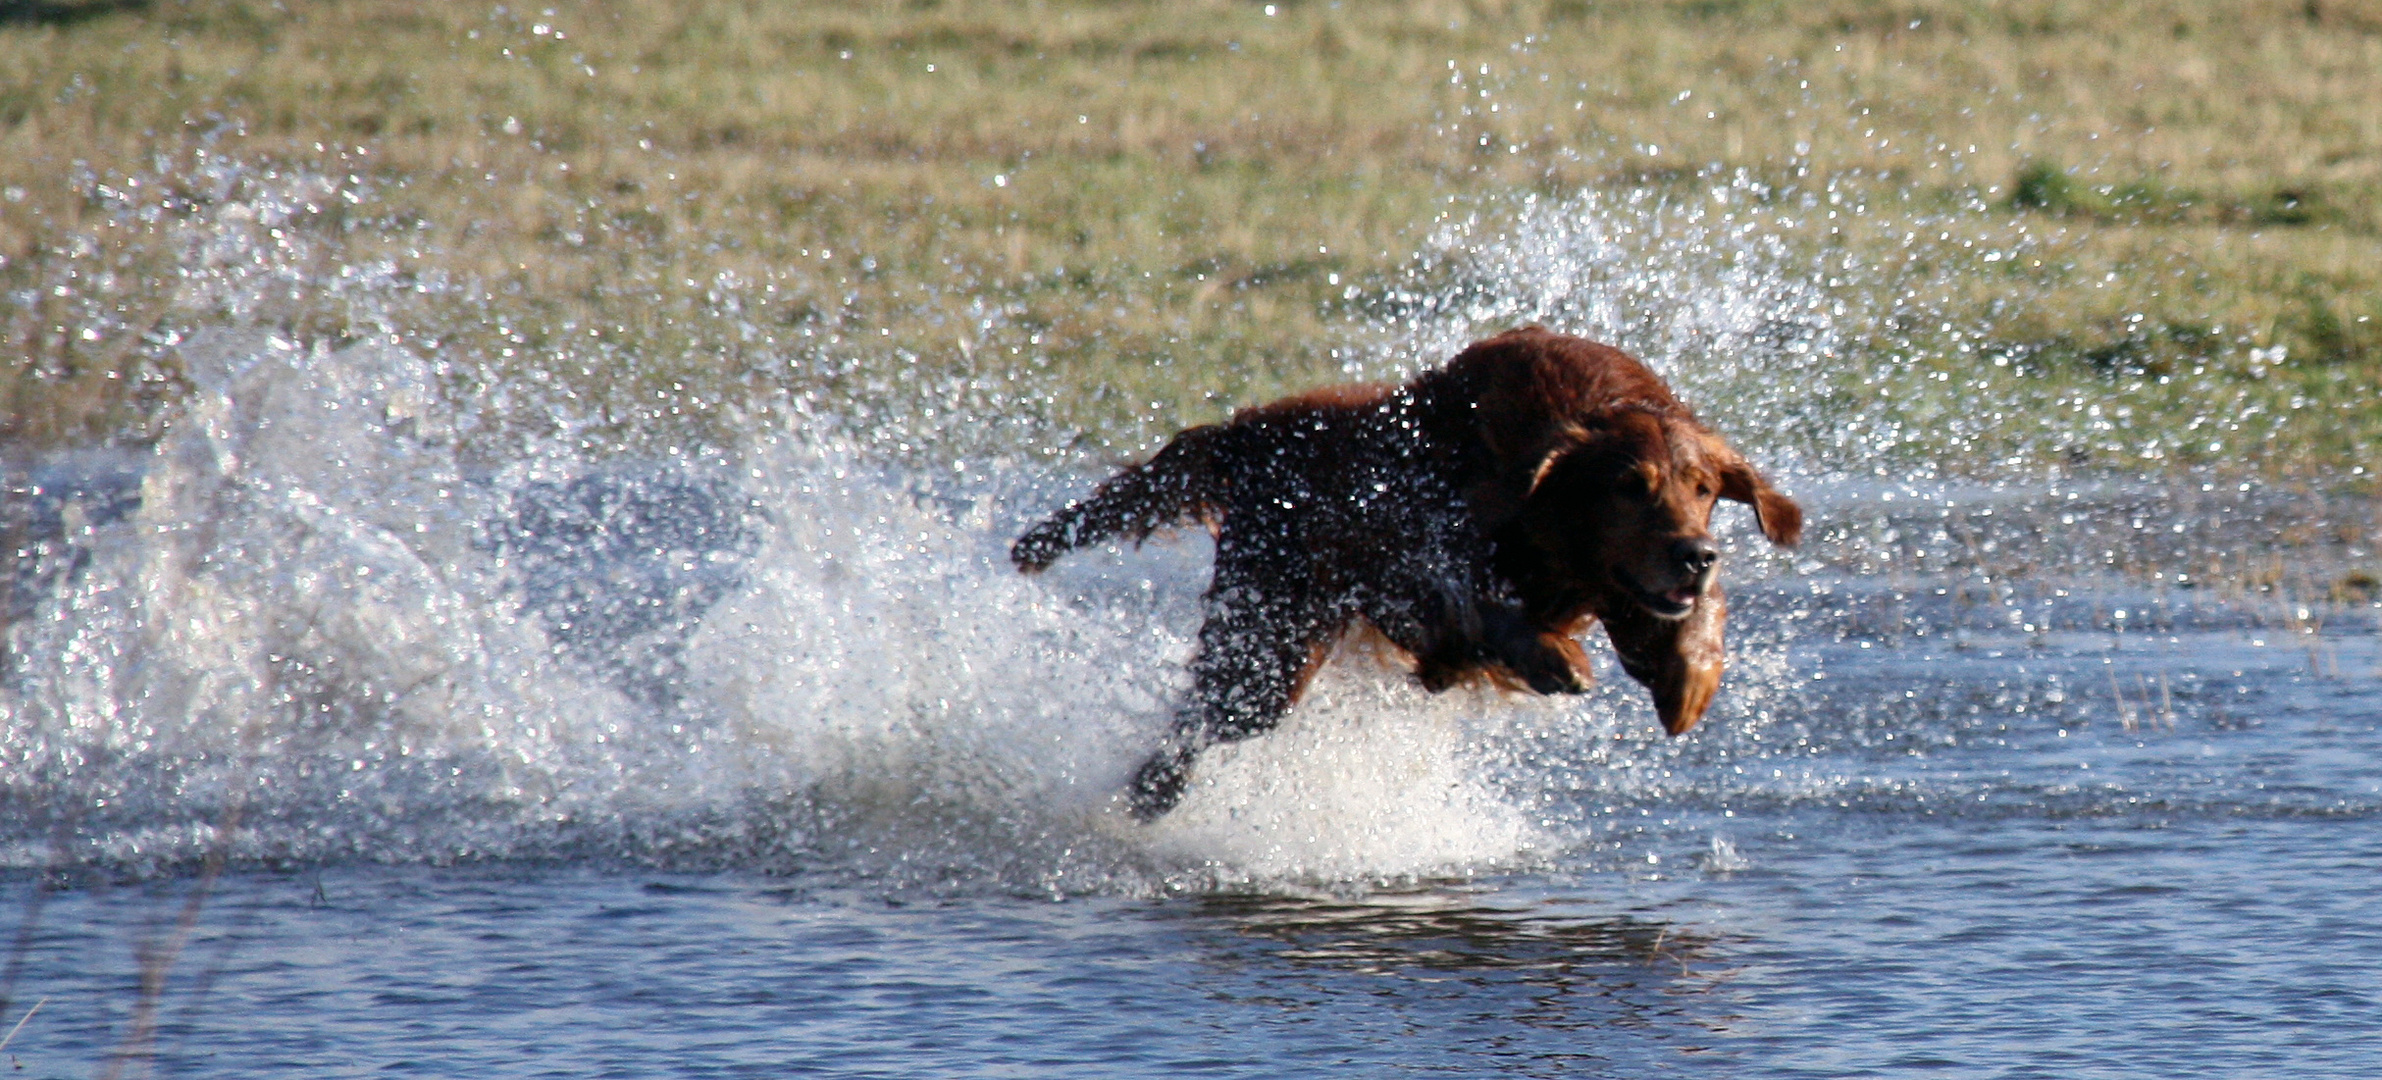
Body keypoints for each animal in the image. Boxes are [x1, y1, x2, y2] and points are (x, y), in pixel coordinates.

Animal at [1009, 329, 1800, 815]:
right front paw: (1558, 656)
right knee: (1195, 725)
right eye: (1629, 486)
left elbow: (1692, 614)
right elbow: (1483, 602)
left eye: (1703, 487)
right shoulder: (1419, 546)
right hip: (1267, 650)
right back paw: (1150, 797)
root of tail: (1246, 434)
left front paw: (1690, 676)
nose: (1694, 555)